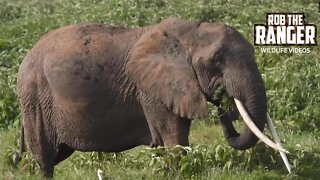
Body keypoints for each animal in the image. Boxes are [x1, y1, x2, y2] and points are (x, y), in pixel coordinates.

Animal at [16, 17, 288, 177]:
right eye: (217, 61)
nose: (222, 97)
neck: (187, 32)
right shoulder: (151, 89)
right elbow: (174, 138)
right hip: (35, 97)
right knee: (44, 158)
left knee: (52, 155)